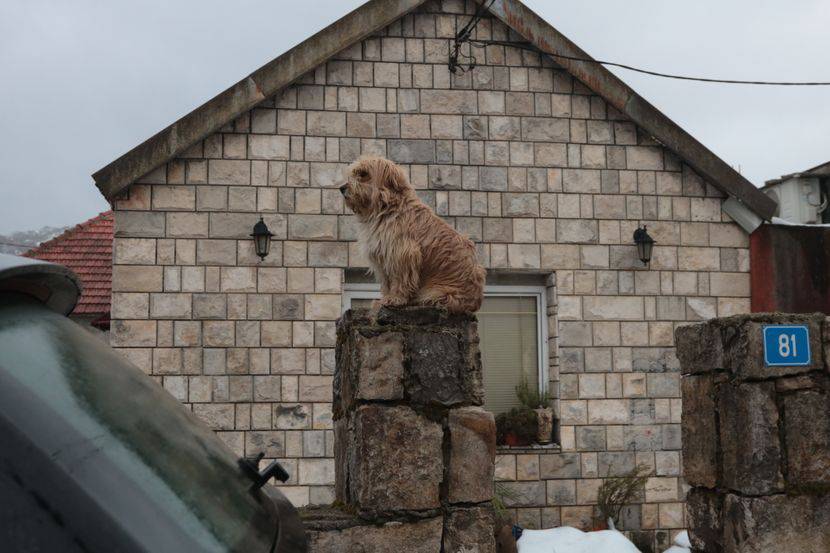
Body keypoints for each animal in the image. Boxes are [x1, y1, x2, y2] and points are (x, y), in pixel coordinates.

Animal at [342, 155, 488, 312]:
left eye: (363, 174)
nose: (341, 188)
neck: (387, 207)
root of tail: (475, 302)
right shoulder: (382, 257)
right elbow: (387, 282)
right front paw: (384, 299)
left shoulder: (402, 253)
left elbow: (400, 279)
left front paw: (394, 298)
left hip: (437, 292)